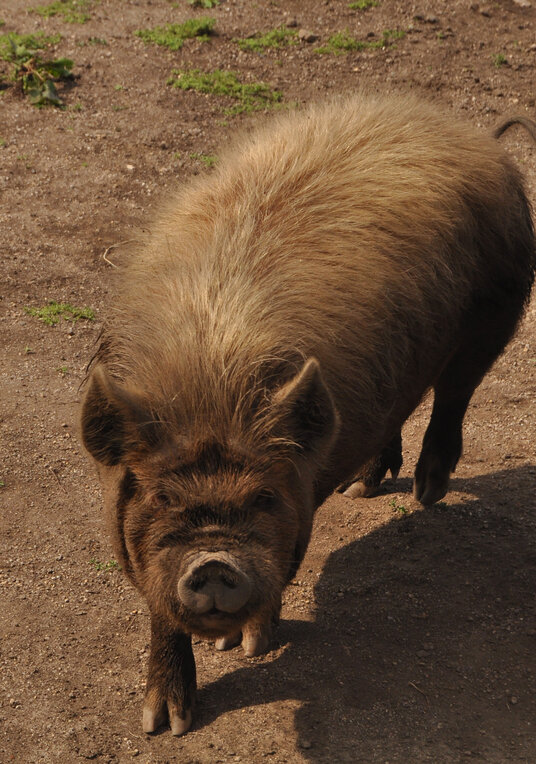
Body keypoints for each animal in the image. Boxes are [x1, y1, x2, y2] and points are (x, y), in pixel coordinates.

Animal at [81, 94, 535, 736]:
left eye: (265, 497)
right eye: (160, 498)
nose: (214, 560)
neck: (209, 384)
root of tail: (479, 139)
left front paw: (247, 646)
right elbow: (158, 605)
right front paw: (165, 725)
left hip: (501, 306)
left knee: (454, 394)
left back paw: (426, 493)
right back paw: (362, 488)